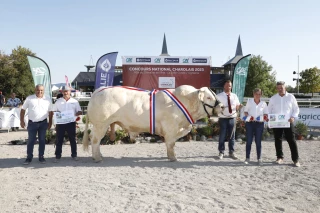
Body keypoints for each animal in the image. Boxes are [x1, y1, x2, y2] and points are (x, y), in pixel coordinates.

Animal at [82, 85, 222, 161]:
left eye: (214, 95)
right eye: (208, 97)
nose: (221, 106)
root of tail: (98, 90)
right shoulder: (170, 128)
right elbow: (171, 144)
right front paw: (173, 158)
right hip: (100, 125)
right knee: (95, 140)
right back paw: (97, 158)